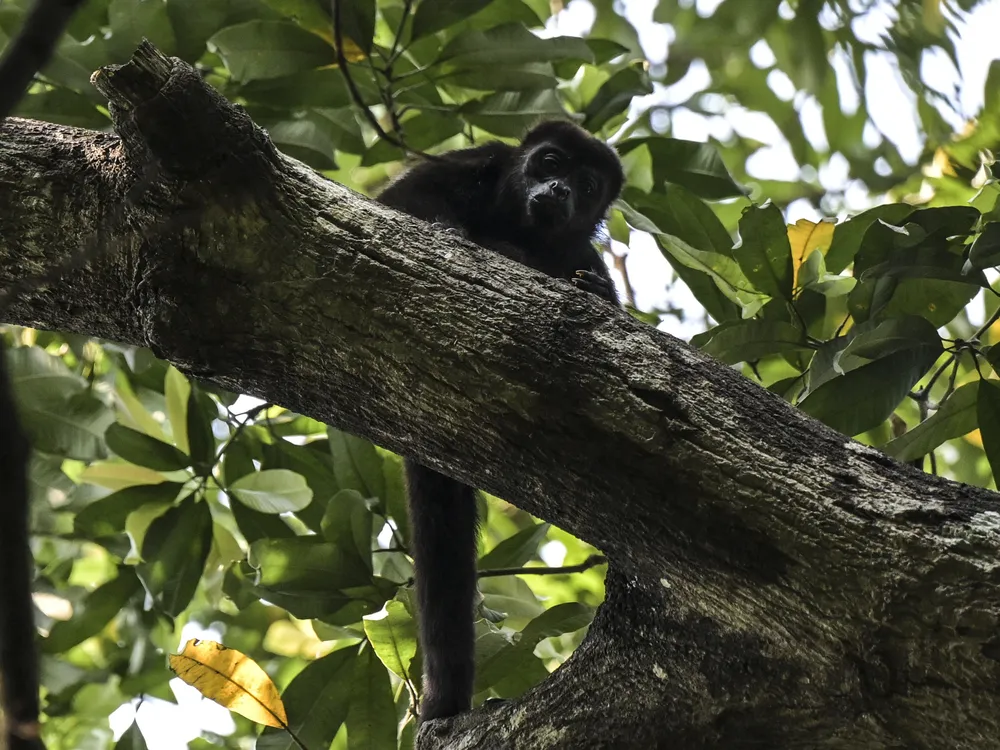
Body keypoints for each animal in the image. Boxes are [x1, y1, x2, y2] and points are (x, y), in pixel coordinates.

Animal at [378, 119, 620, 724]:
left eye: (586, 185)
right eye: (550, 162)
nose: (558, 190)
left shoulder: (583, 250)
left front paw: (586, 290)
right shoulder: (474, 161)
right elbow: (395, 202)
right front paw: (454, 230)